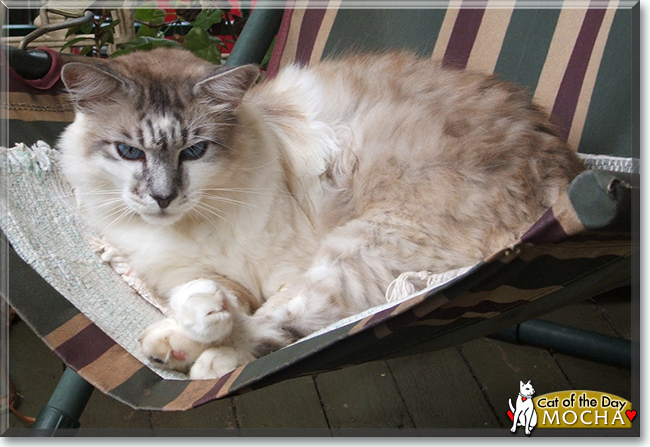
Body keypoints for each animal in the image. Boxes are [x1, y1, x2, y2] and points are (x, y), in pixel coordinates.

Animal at [57, 48, 584, 378]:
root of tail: (565, 167)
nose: (163, 198)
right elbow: (231, 298)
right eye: (129, 152)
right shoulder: (194, 272)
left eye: (195, 151)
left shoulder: (286, 270)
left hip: (370, 241)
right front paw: (202, 320)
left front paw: (204, 329)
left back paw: (194, 345)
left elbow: (265, 311)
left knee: (293, 319)